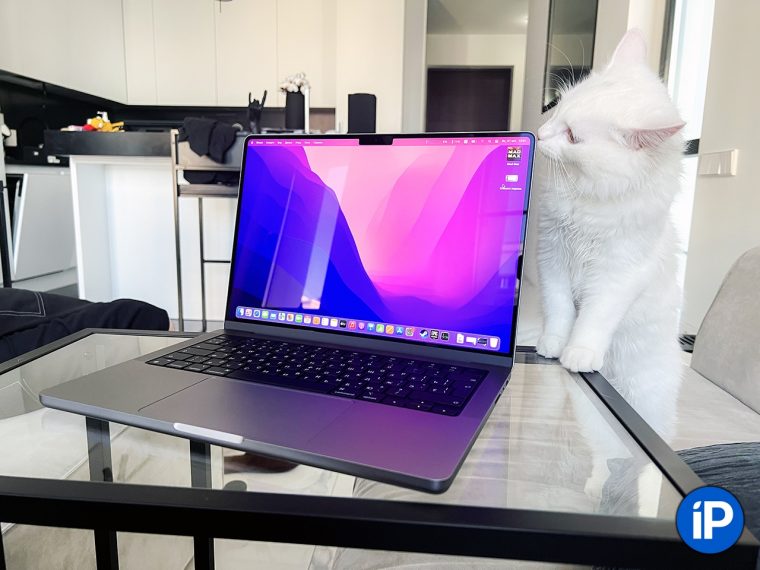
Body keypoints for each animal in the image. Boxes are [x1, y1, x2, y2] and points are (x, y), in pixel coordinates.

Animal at [534, 29, 684, 439]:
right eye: (558, 107)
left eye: (572, 136)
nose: (539, 134)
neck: (588, 199)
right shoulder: (552, 256)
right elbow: (559, 307)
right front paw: (553, 344)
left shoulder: (621, 272)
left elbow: (595, 317)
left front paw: (579, 354)